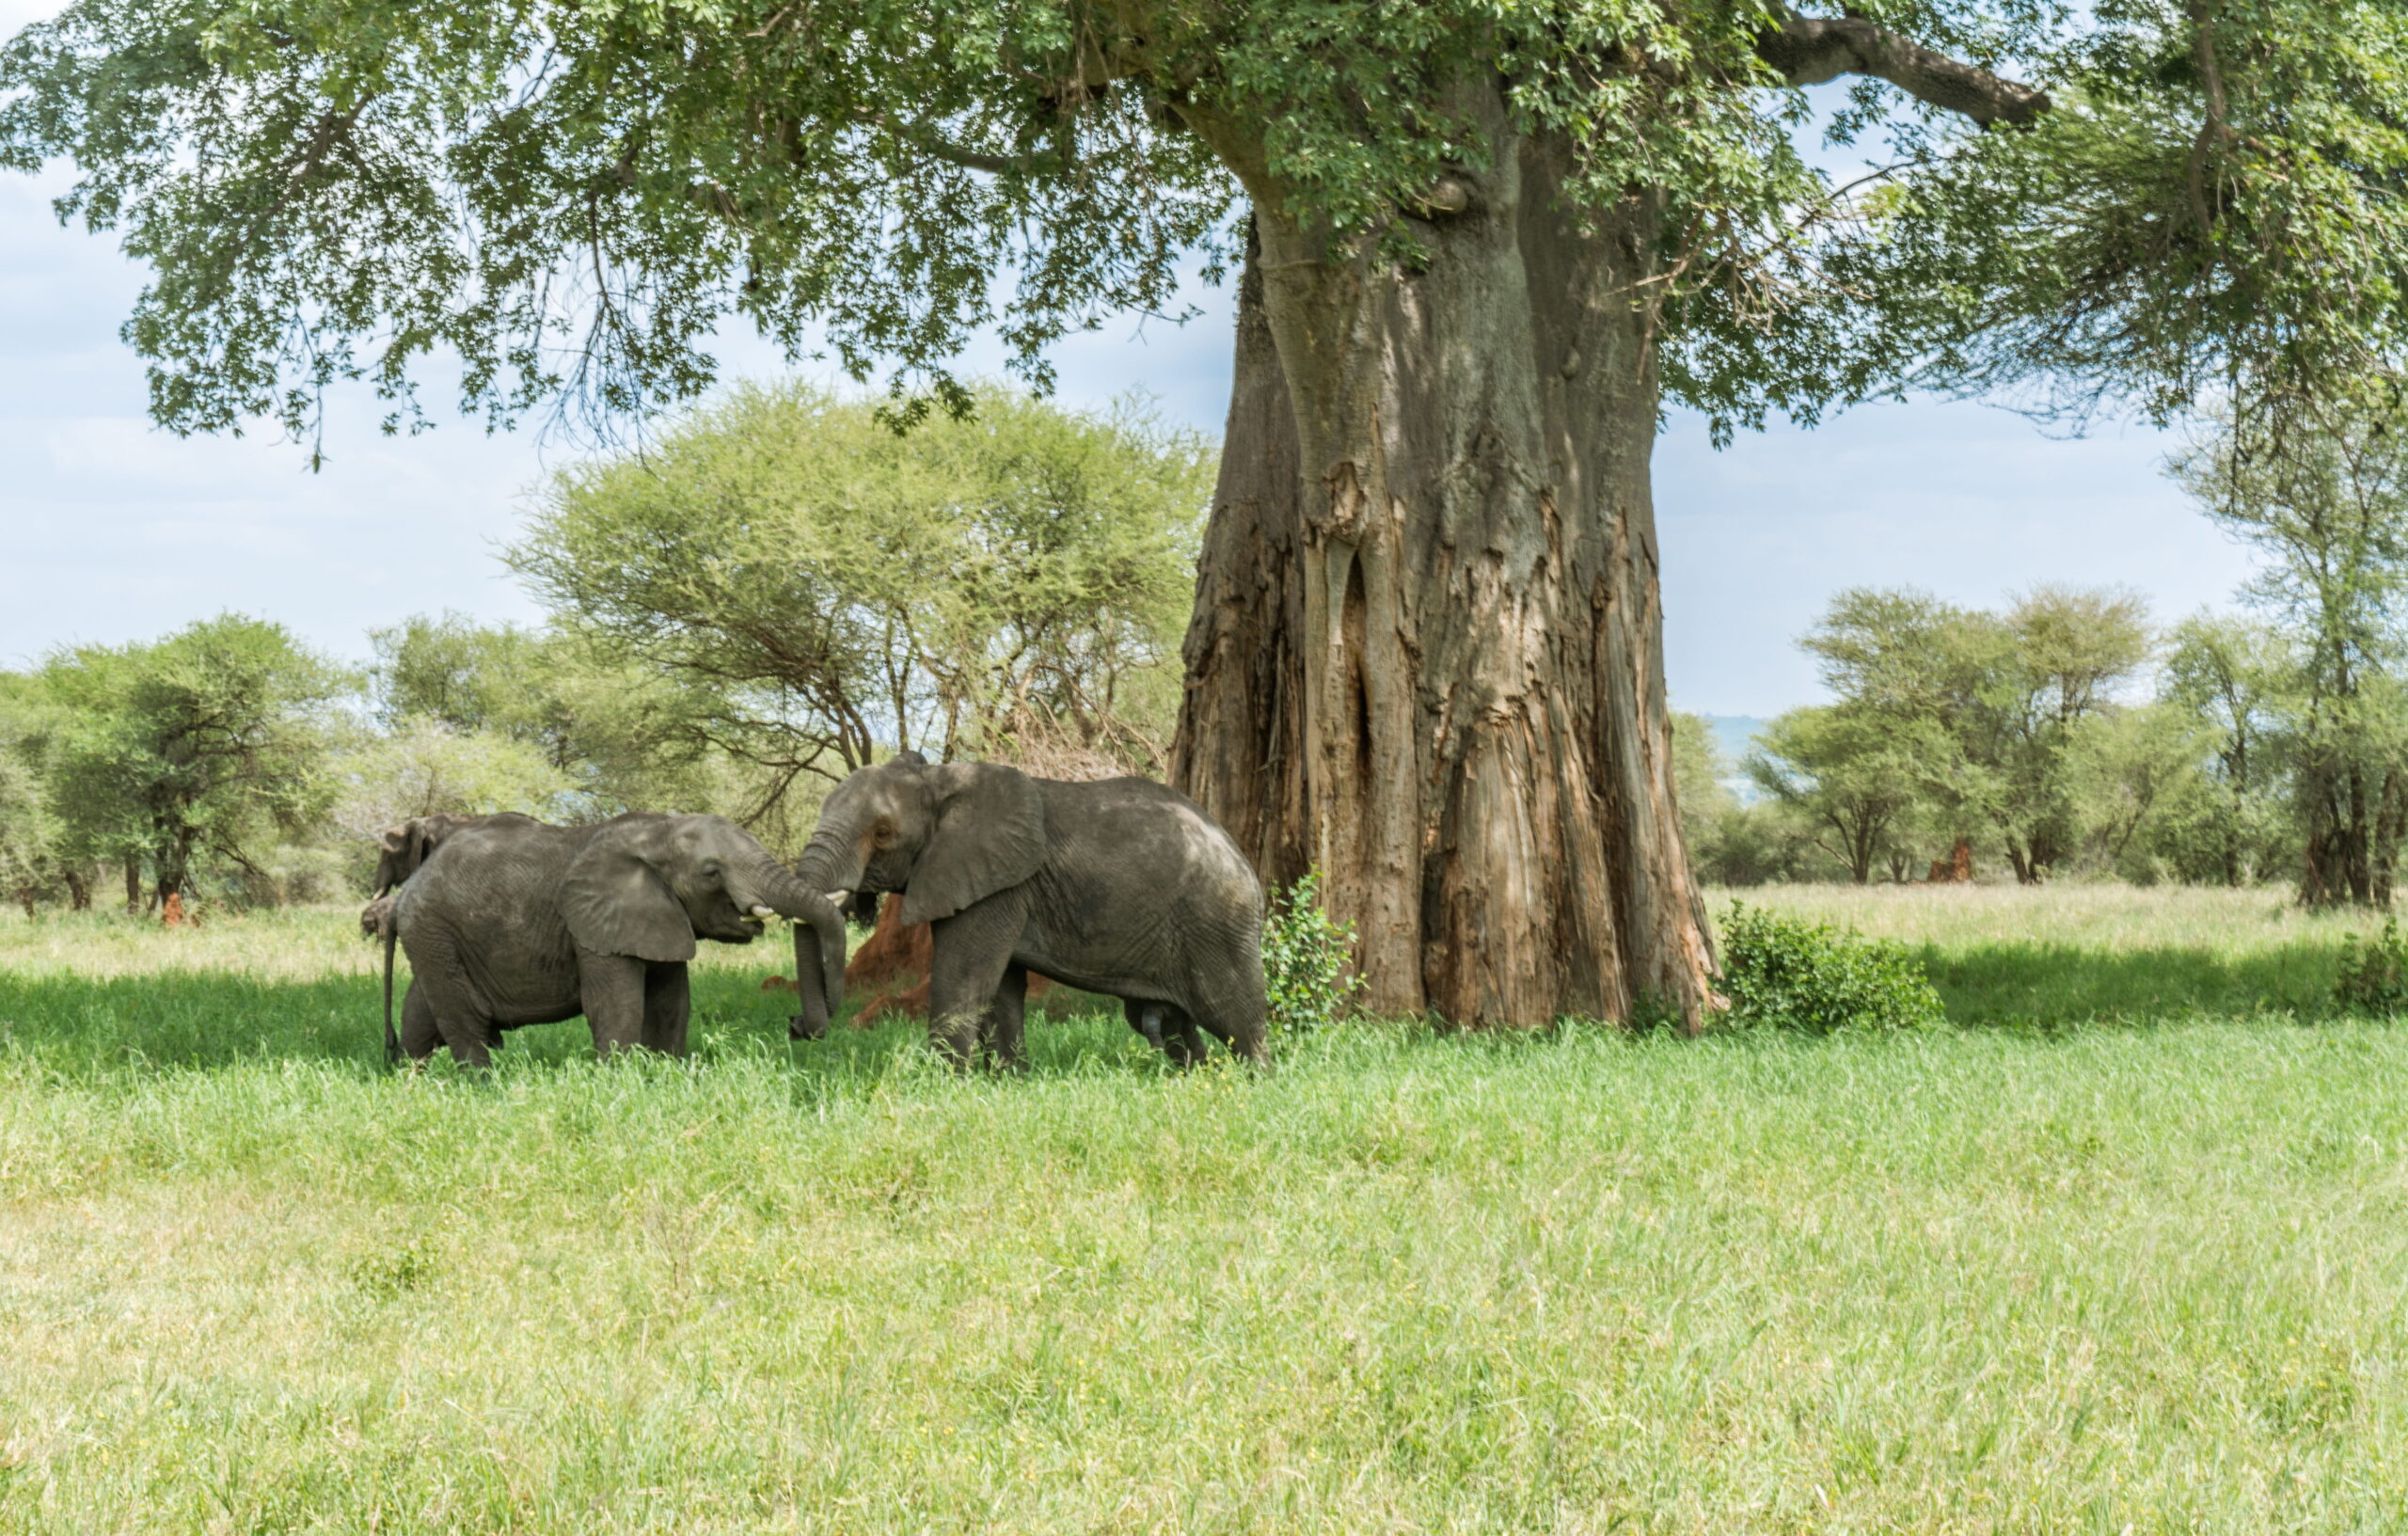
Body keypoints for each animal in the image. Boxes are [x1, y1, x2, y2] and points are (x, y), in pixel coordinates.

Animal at [380, 818, 852, 1069]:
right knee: (463, 1020)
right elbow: (615, 1004)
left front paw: (666, 1073)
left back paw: (411, 1078)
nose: (795, 1026)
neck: (657, 830)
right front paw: (620, 1080)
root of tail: (405, 894)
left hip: (435, 938)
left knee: (421, 1011)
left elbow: (671, 1003)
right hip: (434, 931)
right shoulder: (594, 928)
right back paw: (483, 1084)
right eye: (711, 872)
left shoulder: (661, 917)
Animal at [794, 755, 1280, 1069]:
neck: (938, 779)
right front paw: (1006, 1080)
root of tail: (1243, 861)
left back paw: (1253, 1084)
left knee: (1234, 1017)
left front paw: (942, 1085)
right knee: (1174, 1024)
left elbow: (963, 979)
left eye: (882, 833)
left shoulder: (997, 886)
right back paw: (1197, 1080)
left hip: (1217, 924)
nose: (797, 1027)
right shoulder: (994, 886)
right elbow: (1001, 989)